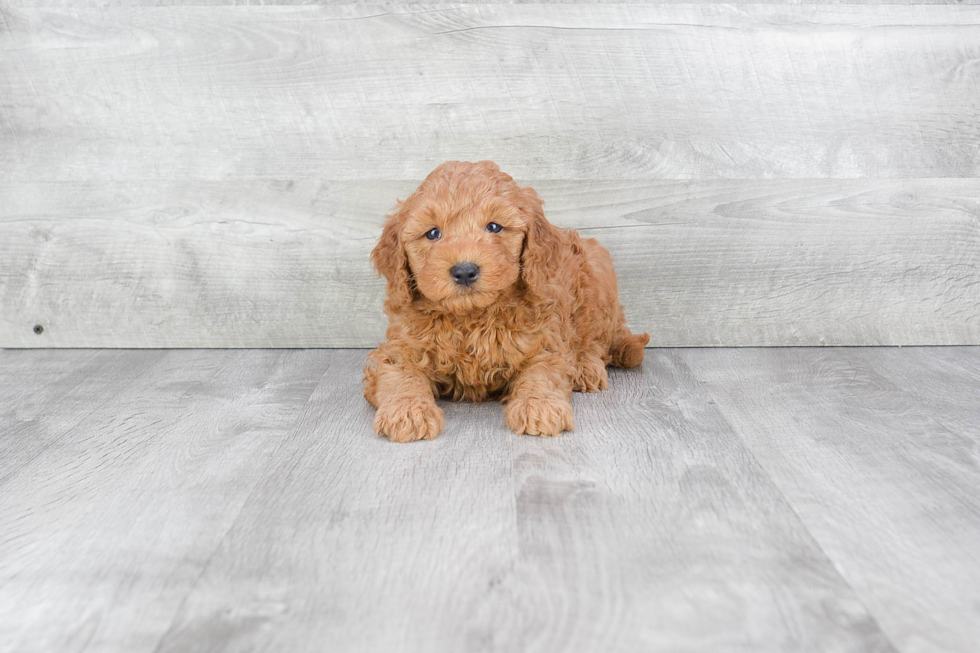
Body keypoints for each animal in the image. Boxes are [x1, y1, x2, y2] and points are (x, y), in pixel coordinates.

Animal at [364, 160, 648, 440]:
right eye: (432, 233)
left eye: (494, 227)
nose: (464, 271)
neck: (472, 317)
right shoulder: (399, 348)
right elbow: (399, 374)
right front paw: (408, 410)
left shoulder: (545, 341)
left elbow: (543, 371)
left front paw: (539, 406)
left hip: (597, 273)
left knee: (595, 340)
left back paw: (585, 367)